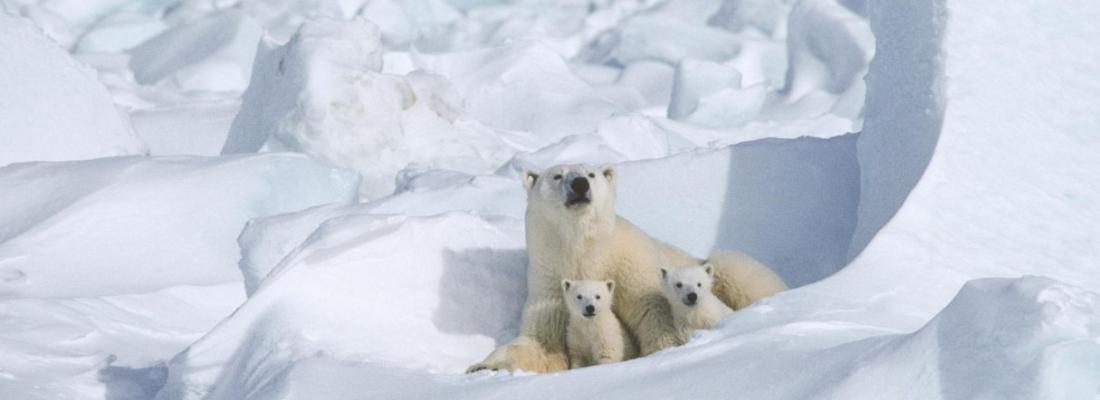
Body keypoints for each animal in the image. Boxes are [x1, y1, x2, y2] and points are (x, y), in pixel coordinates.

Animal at [466, 164, 788, 373]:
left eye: (591, 173)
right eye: (557, 175)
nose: (580, 184)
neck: (585, 254)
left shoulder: (630, 266)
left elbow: (653, 313)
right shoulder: (550, 284)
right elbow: (541, 342)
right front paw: (483, 366)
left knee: (732, 267)